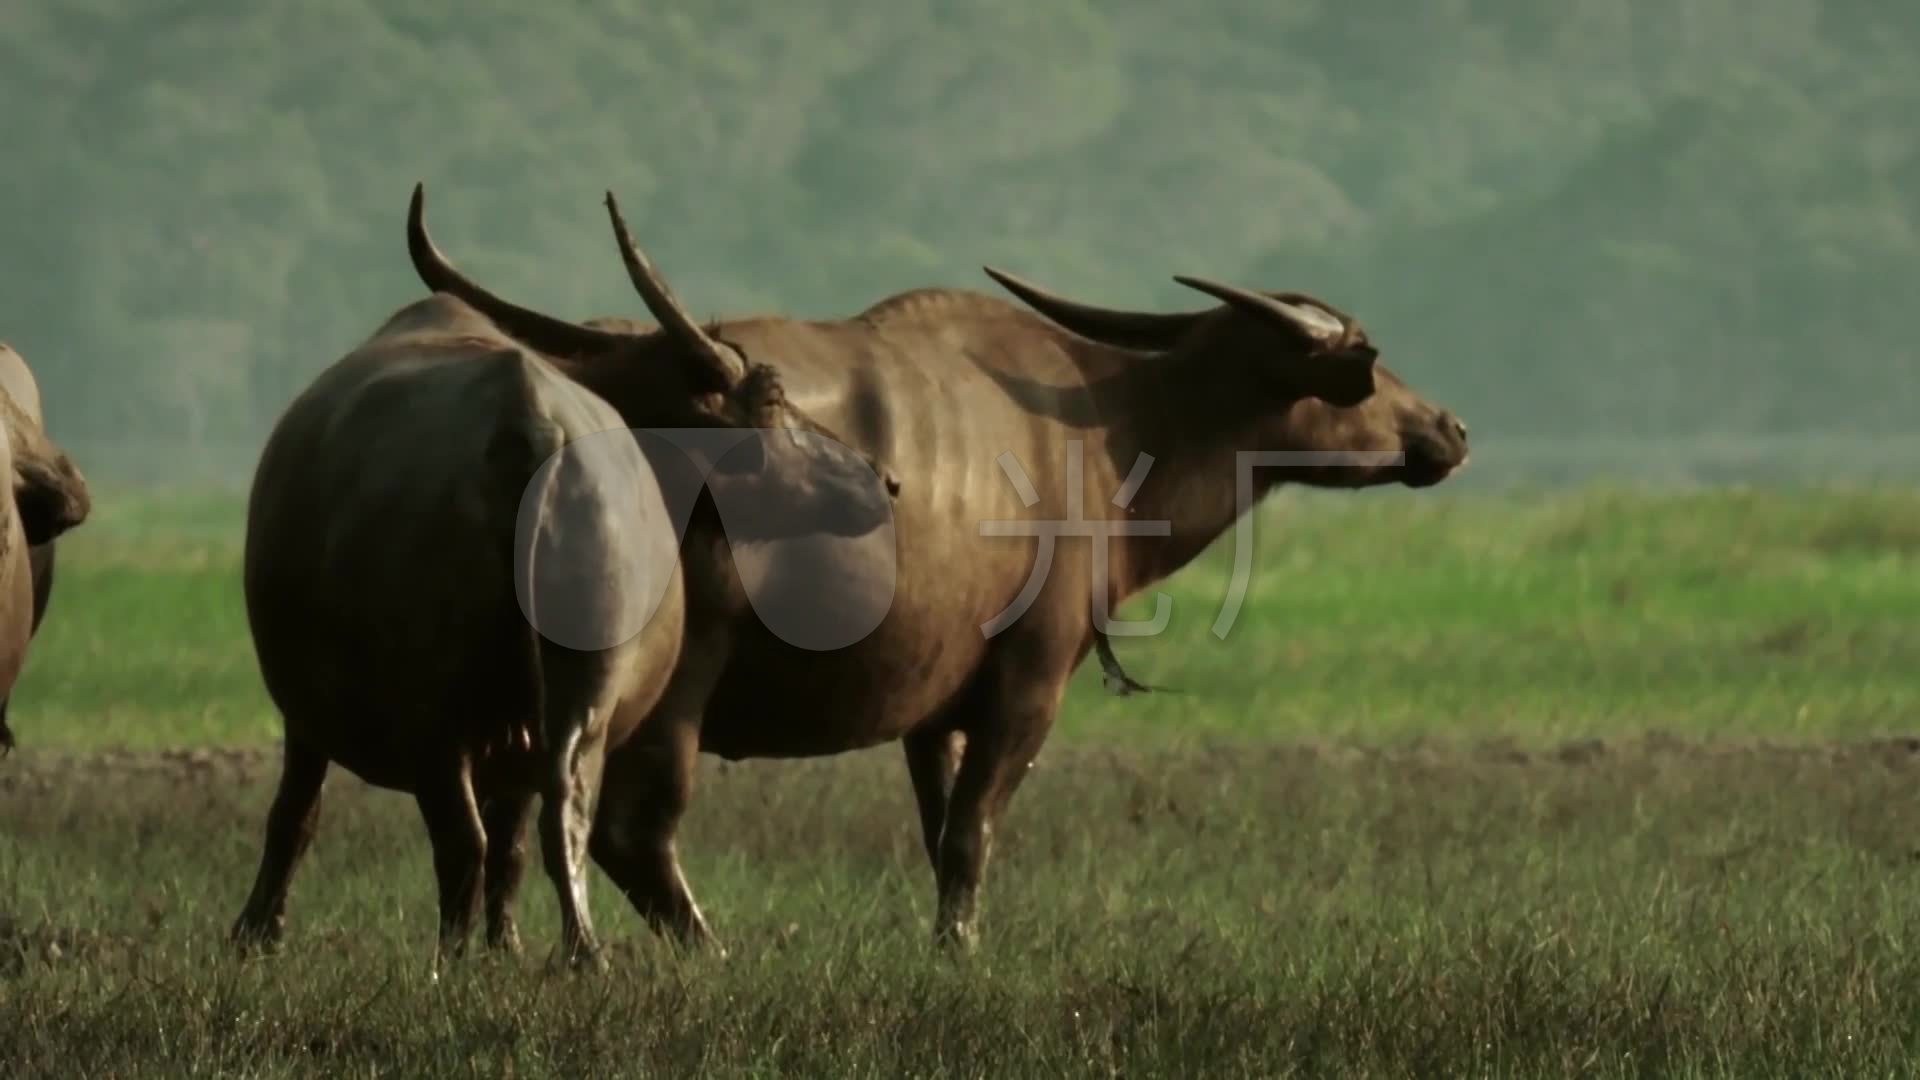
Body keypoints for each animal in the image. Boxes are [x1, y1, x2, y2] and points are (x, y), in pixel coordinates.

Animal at [230, 195, 898, 968]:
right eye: (770, 397)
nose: (883, 480)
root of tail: (530, 425)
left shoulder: (313, 712)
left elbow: (299, 812)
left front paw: (257, 930)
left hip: (442, 700)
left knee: (468, 834)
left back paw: (460, 956)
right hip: (582, 671)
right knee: (559, 810)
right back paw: (576, 951)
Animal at [408, 197, 1466, 945]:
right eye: (1369, 358)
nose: (1449, 429)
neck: (1105, 432)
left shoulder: (933, 707)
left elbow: (936, 826)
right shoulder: (1028, 681)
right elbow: (970, 836)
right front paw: (959, 949)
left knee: (518, 819)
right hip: (671, 685)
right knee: (628, 827)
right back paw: (705, 948)